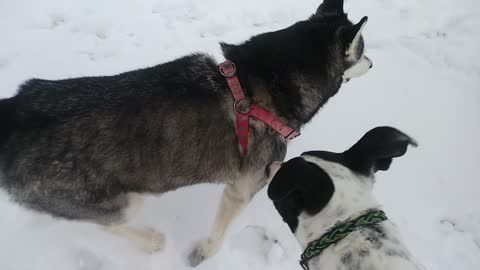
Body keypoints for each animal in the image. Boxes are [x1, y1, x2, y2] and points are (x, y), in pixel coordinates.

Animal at [0, 0, 372, 266]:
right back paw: (151, 241)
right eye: (362, 51)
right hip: (120, 201)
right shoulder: (244, 185)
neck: (263, 82)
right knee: (103, 222)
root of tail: (14, 112)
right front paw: (203, 253)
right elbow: (219, 233)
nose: (373, 64)